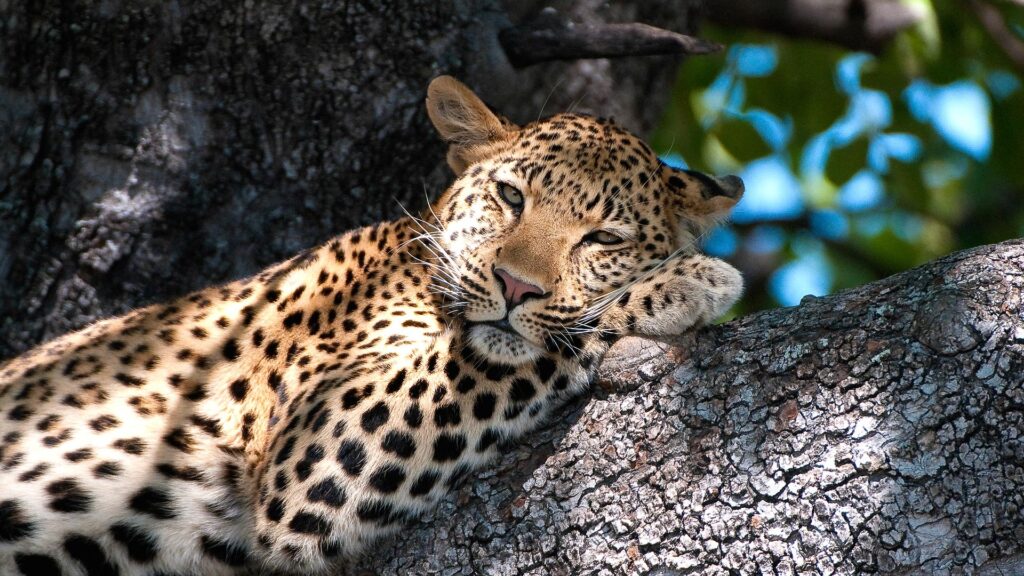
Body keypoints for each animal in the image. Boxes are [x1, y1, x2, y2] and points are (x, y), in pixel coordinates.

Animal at [0, 76, 745, 575]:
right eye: (511, 196)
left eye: (604, 238)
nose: (516, 286)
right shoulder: (315, 449)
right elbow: (517, 348)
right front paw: (686, 282)